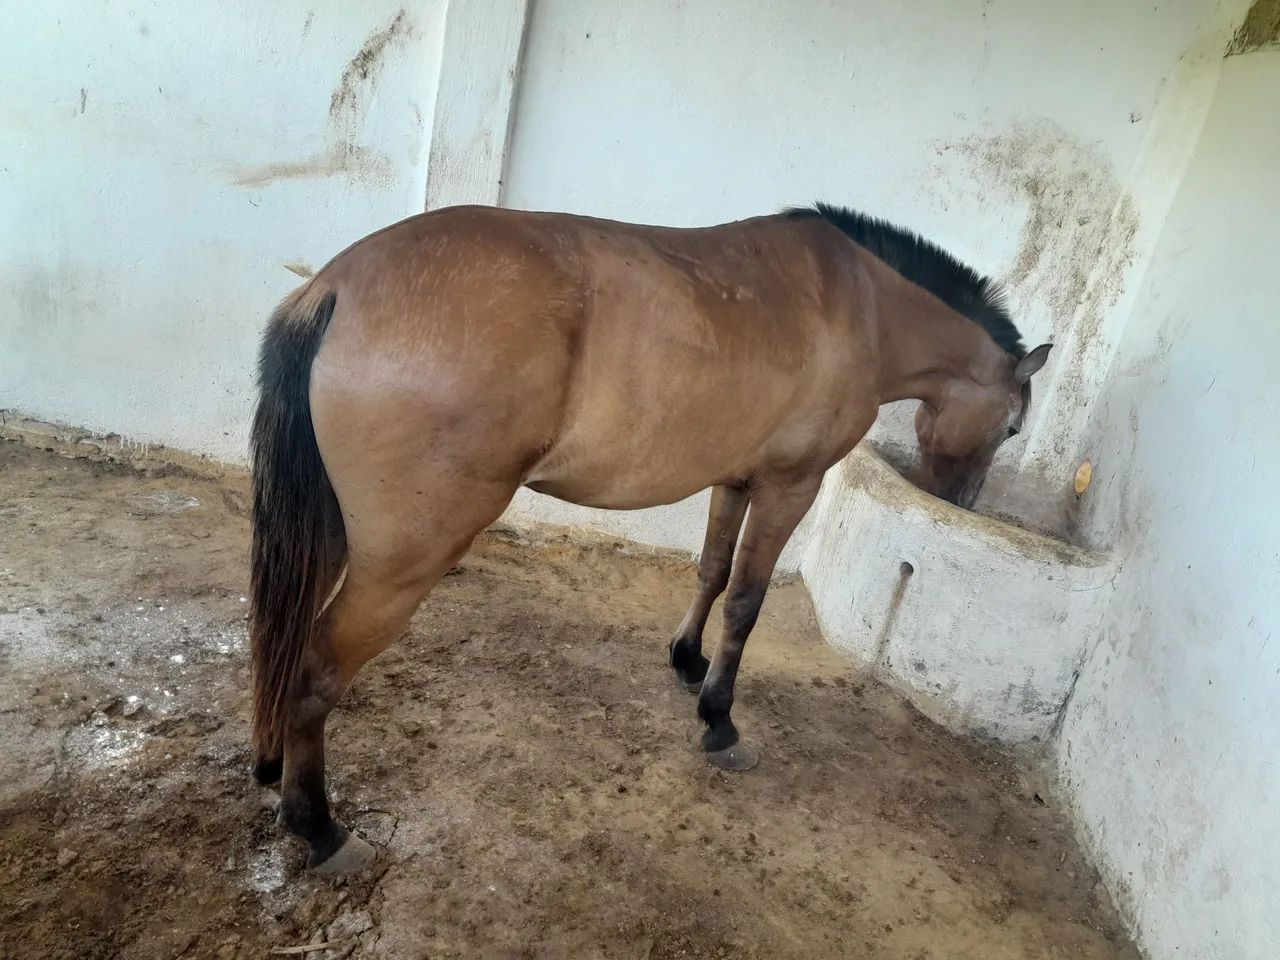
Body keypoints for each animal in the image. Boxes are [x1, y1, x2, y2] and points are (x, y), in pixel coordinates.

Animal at [247, 202, 1051, 874]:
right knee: (315, 666)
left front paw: (688, 661)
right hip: (401, 563)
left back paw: (273, 767)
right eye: (1013, 427)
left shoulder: (736, 479)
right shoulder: (790, 486)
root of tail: (337, 288)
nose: (957, 502)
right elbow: (747, 600)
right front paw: (719, 720)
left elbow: (713, 571)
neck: (864, 304)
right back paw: (319, 828)